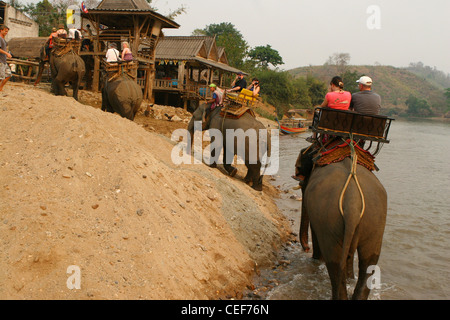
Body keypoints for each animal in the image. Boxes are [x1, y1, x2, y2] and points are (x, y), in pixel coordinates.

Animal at [298, 155, 388, 300]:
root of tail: (352, 202)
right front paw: (350, 278)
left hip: (328, 220)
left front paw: (315, 260)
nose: (306, 249)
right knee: (368, 262)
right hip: (375, 220)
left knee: (334, 263)